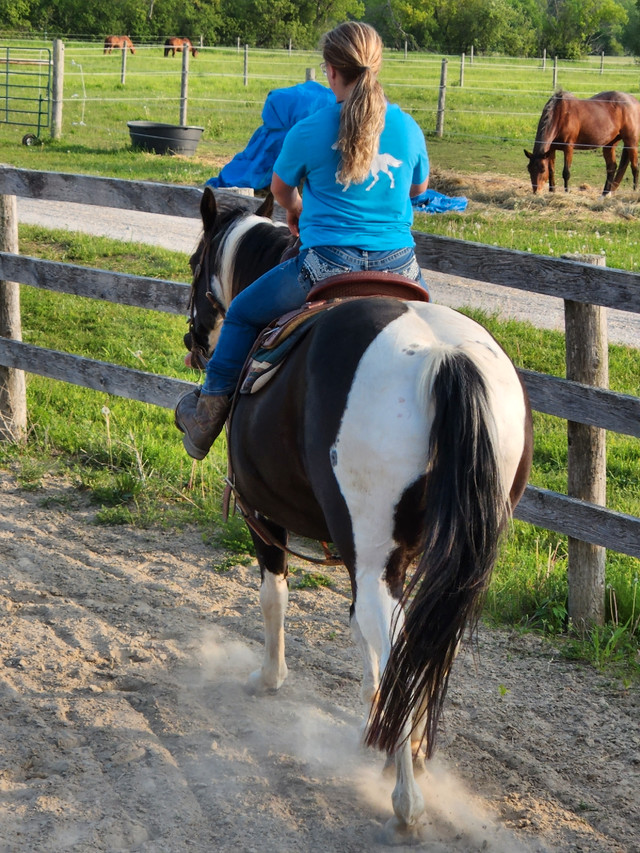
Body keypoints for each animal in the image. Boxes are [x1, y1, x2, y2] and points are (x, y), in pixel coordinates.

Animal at [183, 187, 533, 842]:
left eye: (196, 261)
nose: (195, 341)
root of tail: (445, 359)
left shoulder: (261, 513)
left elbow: (274, 598)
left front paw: (269, 679)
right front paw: (381, 729)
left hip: (372, 552)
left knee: (394, 640)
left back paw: (406, 801)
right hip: (444, 557)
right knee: (422, 643)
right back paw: (409, 750)